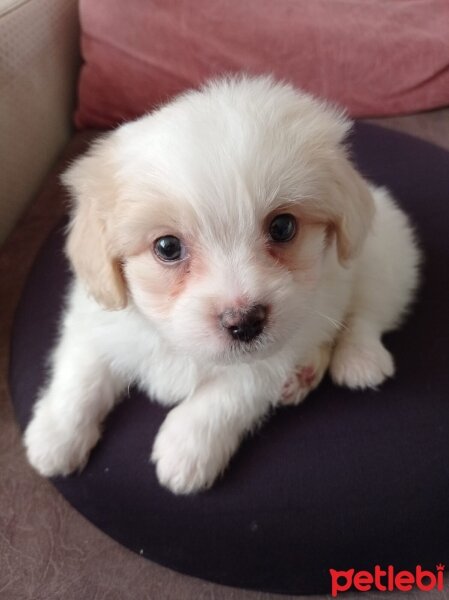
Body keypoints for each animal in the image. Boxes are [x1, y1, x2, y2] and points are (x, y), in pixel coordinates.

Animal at [22, 76, 418, 492]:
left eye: (283, 227)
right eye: (167, 247)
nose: (244, 323)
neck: (179, 345)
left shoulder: (270, 359)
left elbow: (228, 395)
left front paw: (186, 449)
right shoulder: (96, 317)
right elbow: (81, 374)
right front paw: (55, 436)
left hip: (383, 251)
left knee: (367, 313)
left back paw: (359, 360)